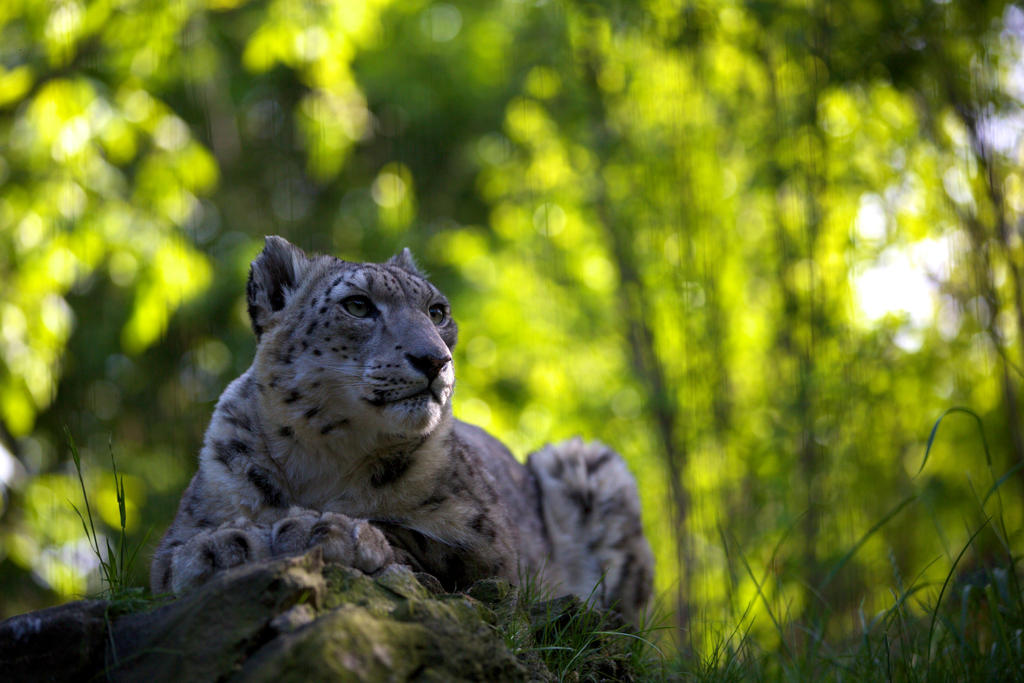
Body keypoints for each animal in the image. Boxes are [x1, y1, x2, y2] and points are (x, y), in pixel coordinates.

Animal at [150, 236, 654, 622]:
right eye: (357, 305)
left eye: (437, 311)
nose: (435, 360)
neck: (324, 455)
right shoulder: (189, 520)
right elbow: (175, 555)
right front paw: (221, 546)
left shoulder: (487, 548)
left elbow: (411, 533)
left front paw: (327, 530)